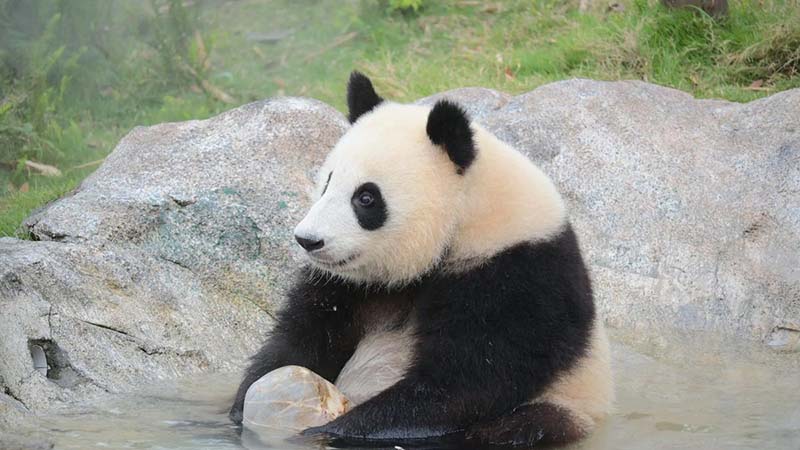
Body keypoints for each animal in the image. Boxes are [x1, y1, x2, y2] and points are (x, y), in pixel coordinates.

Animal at [230, 72, 613, 448]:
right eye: (327, 183)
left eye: (366, 197)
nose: (308, 240)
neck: (467, 217)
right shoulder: (348, 285)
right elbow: (305, 336)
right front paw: (246, 405)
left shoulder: (518, 274)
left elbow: (465, 383)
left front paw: (327, 429)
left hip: (563, 404)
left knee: (519, 426)